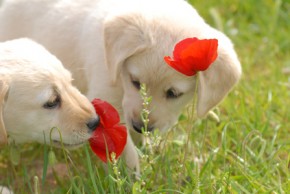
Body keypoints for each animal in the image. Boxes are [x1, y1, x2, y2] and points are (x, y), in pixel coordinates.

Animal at [0, 0, 241, 171]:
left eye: (174, 94)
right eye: (135, 82)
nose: (140, 126)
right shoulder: (106, 99)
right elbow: (124, 148)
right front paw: (133, 177)